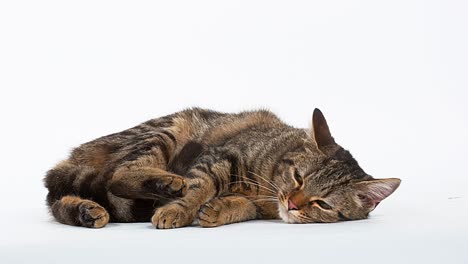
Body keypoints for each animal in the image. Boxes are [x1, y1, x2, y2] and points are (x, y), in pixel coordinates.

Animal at [44, 106, 400, 227]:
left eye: (322, 204)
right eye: (298, 178)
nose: (292, 204)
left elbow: (244, 206)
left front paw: (220, 210)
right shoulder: (220, 155)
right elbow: (201, 186)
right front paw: (179, 210)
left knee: (60, 199)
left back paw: (85, 212)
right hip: (164, 133)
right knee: (114, 177)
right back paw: (167, 185)